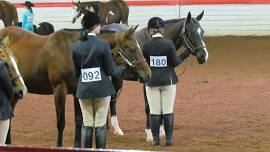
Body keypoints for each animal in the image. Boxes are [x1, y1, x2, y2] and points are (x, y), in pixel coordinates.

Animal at [0, 25, 151, 147]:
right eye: (131, 49)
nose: (148, 74)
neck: (70, 51)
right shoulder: (59, 89)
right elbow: (61, 121)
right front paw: (59, 145)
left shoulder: (76, 92)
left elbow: (78, 121)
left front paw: (77, 145)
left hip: (15, 92)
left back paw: (8, 142)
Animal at [104, 10, 208, 140]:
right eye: (191, 32)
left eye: (202, 31)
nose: (203, 56)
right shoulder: (147, 81)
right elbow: (148, 107)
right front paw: (149, 134)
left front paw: (162, 131)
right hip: (117, 78)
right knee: (112, 100)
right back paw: (117, 129)